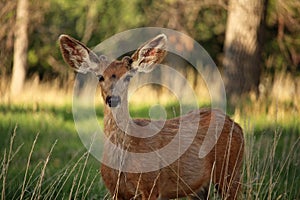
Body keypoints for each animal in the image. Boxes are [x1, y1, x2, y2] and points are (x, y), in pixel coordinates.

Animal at [58, 33, 244, 199]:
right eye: (100, 77)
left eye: (128, 77)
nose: (113, 99)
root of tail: (237, 125)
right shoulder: (115, 190)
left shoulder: (151, 185)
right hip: (200, 187)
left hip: (230, 171)